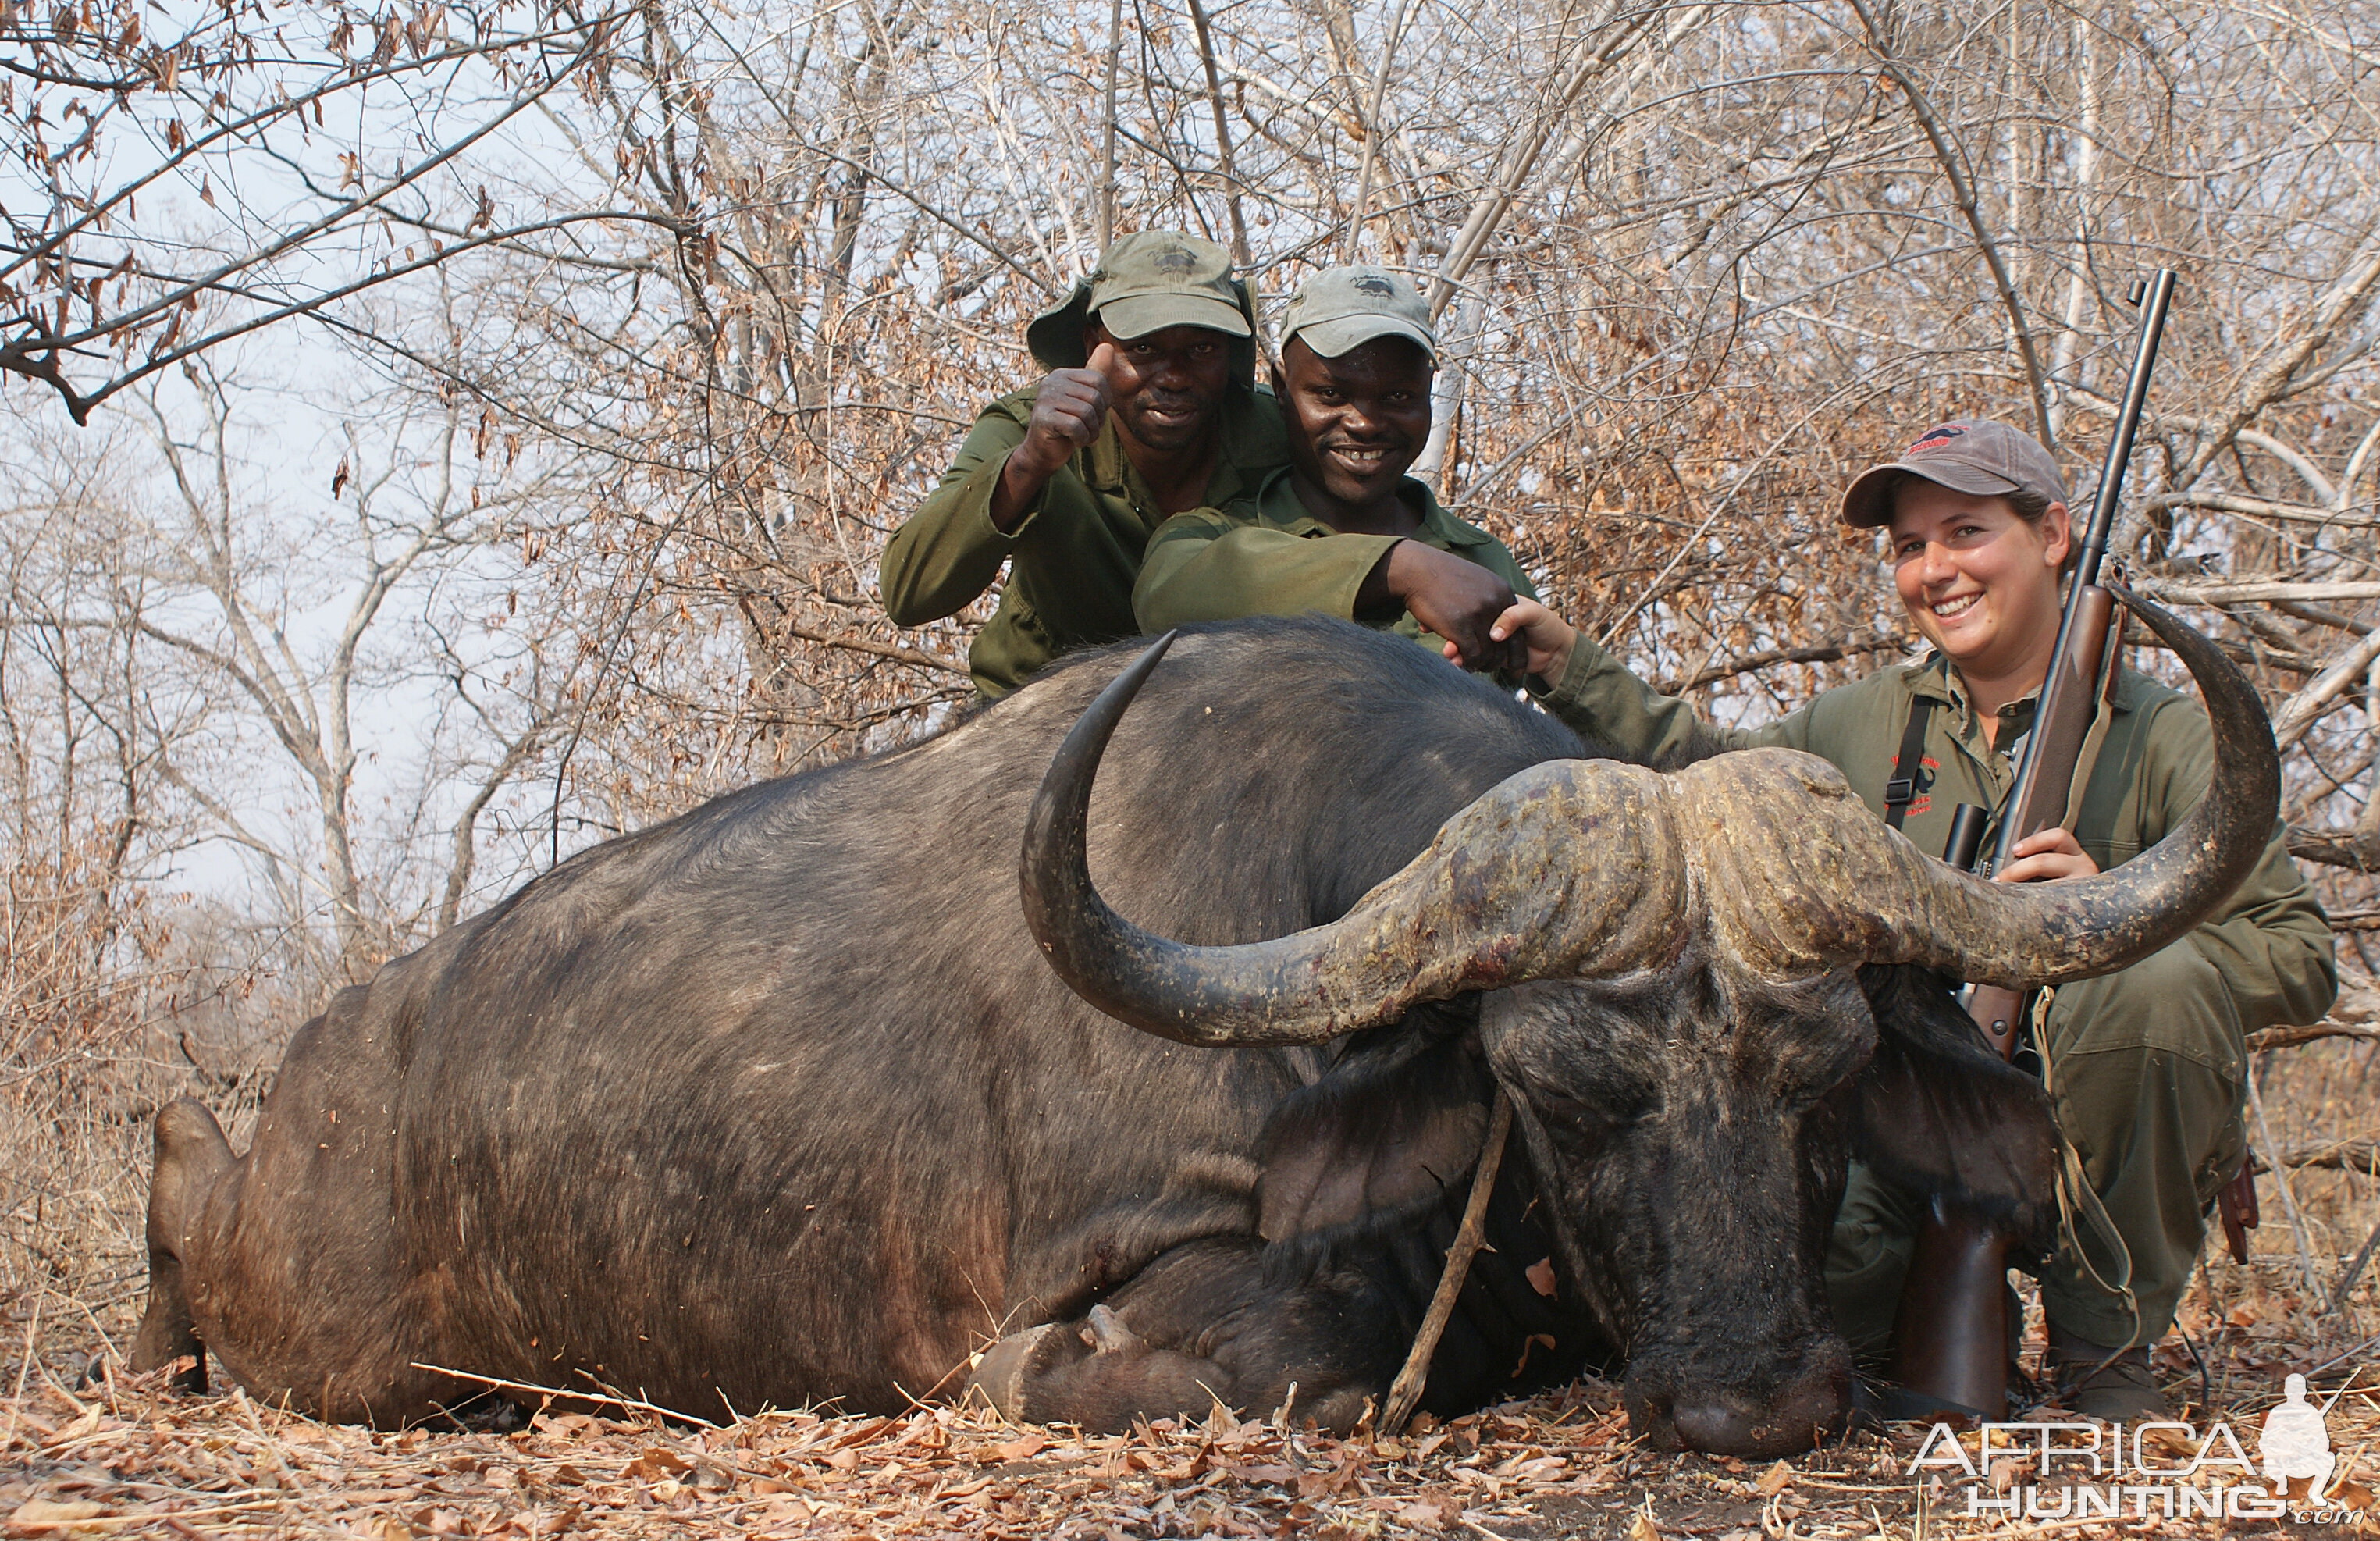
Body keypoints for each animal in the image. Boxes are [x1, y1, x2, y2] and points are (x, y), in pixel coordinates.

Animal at [125, 600, 2265, 1457]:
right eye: (1549, 1088)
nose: (1757, 1400)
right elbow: (1295, 1364)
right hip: (316, 1317)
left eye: (1821, 1078)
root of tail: (342, 1051)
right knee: (170, 1157)